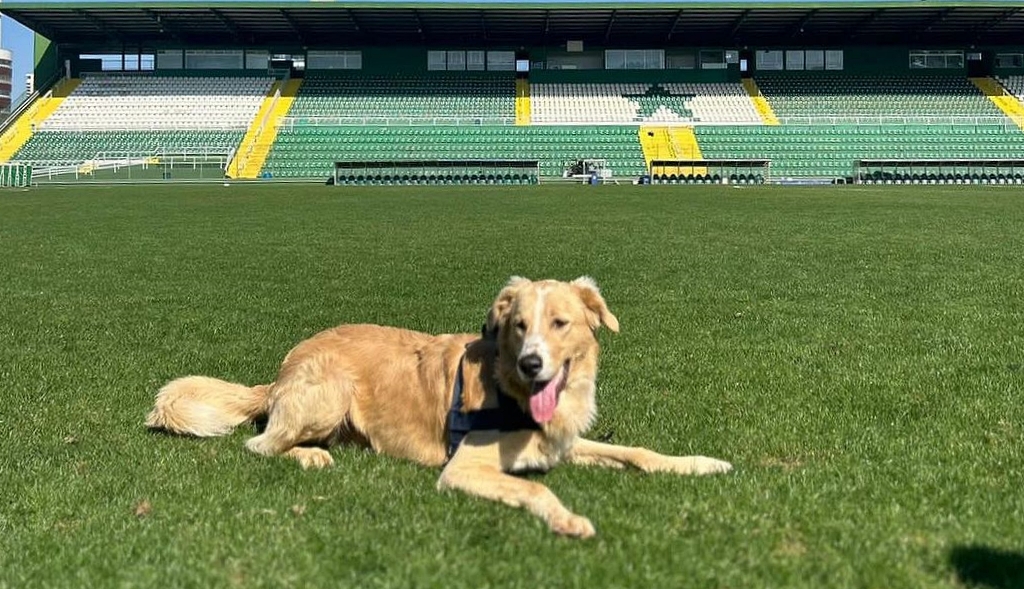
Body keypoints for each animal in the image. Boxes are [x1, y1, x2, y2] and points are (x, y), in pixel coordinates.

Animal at [148, 276, 733, 540]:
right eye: (519, 325)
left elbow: (638, 452)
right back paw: (310, 456)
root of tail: (282, 370)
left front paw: (700, 463)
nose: (532, 364)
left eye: (560, 323)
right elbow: (536, 488)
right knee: (260, 444)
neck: (512, 392)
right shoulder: (464, 467)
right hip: (328, 392)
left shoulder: (561, 442)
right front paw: (567, 519)